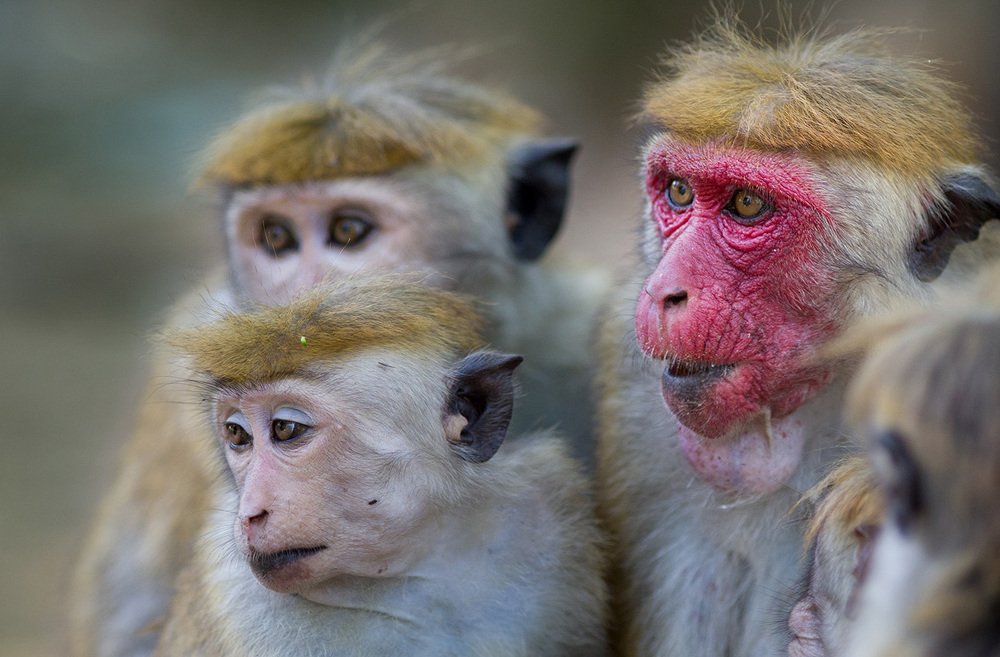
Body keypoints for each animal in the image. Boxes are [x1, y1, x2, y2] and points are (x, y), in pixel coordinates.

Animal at [151, 276, 609, 657]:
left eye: (286, 428)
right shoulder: (250, 613)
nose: (250, 513)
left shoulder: (543, 516)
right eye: (237, 434)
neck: (418, 569)